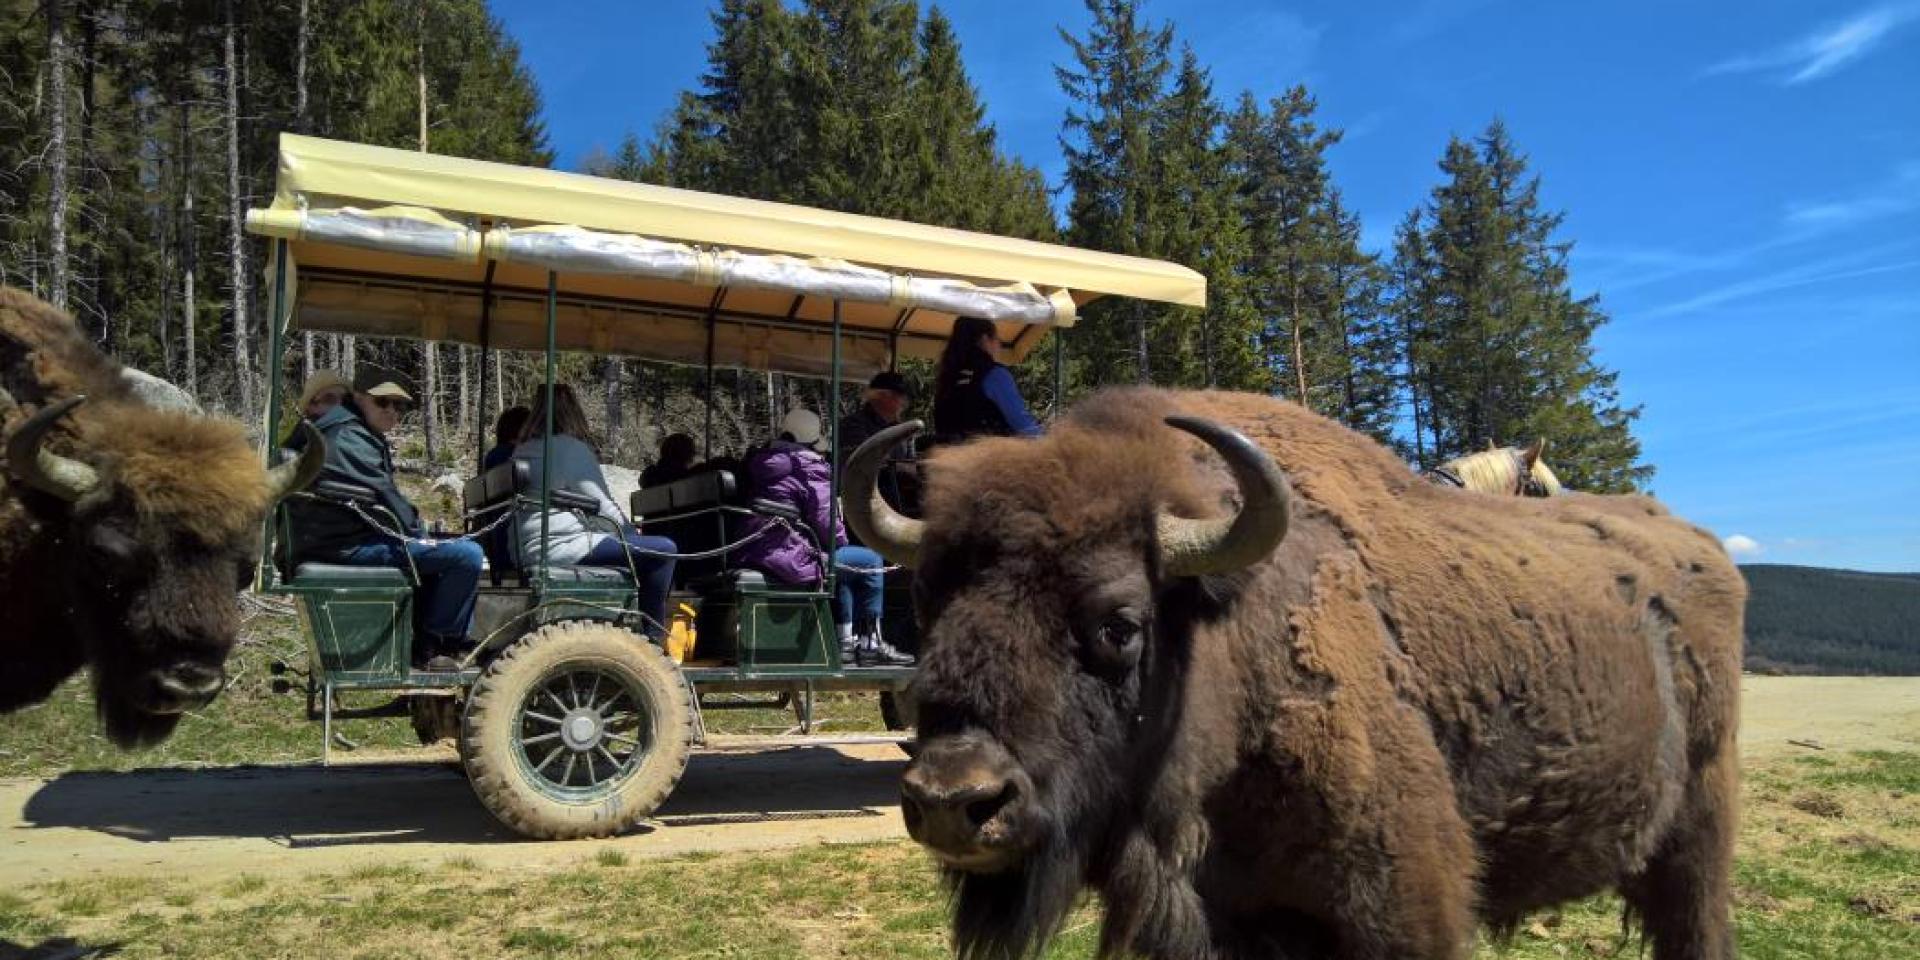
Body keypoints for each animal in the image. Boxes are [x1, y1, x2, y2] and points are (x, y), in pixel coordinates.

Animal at [848, 389, 1751, 960]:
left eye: (1120, 623)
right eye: (929, 601)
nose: (953, 801)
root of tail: (1701, 548)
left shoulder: (1403, 910)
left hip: (1698, 836)